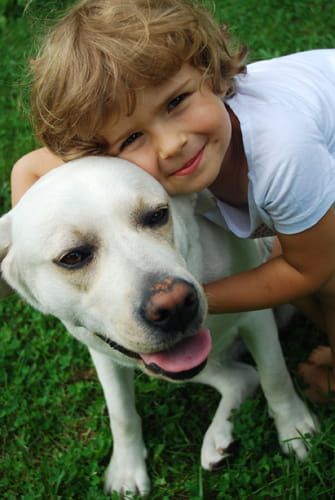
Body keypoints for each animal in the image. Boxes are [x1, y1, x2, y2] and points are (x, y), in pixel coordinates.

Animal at [0, 157, 318, 496]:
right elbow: (121, 414)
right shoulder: (104, 354)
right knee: (242, 377)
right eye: (72, 256)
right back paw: (218, 438)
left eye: (157, 215)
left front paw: (294, 426)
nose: (175, 306)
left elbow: (275, 375)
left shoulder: (256, 315)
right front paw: (126, 468)